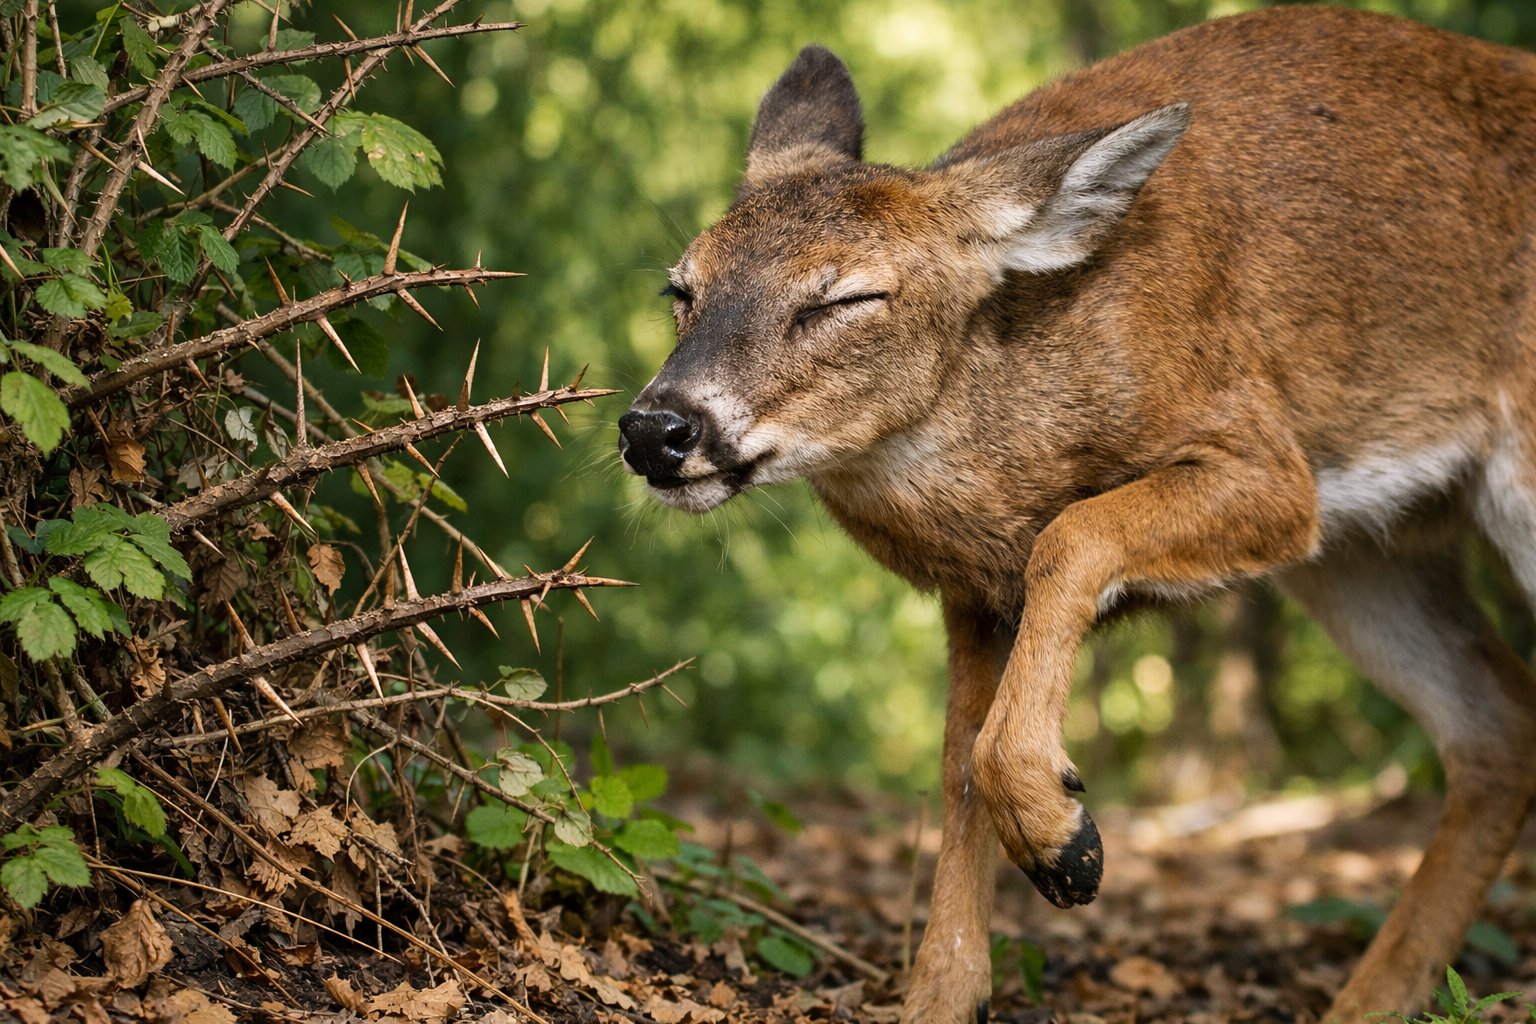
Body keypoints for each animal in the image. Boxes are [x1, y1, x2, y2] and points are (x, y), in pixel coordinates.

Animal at [616, 6, 1536, 1021]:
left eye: (847, 296)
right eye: (681, 289)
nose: (657, 428)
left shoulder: (1270, 466)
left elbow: (1073, 536)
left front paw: (1065, 840)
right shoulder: (974, 593)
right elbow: (957, 763)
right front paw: (945, 988)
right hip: (1365, 557)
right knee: (1498, 725)